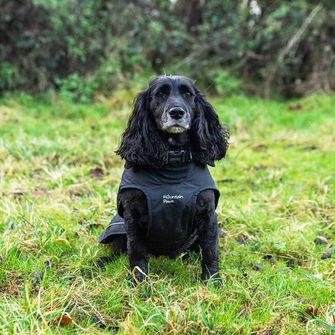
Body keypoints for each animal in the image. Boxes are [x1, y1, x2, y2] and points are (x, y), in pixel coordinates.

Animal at [100, 75, 230, 282]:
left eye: (188, 94)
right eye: (160, 94)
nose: (176, 112)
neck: (172, 162)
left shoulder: (208, 215)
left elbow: (211, 250)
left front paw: (212, 280)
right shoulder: (132, 216)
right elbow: (136, 251)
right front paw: (139, 281)